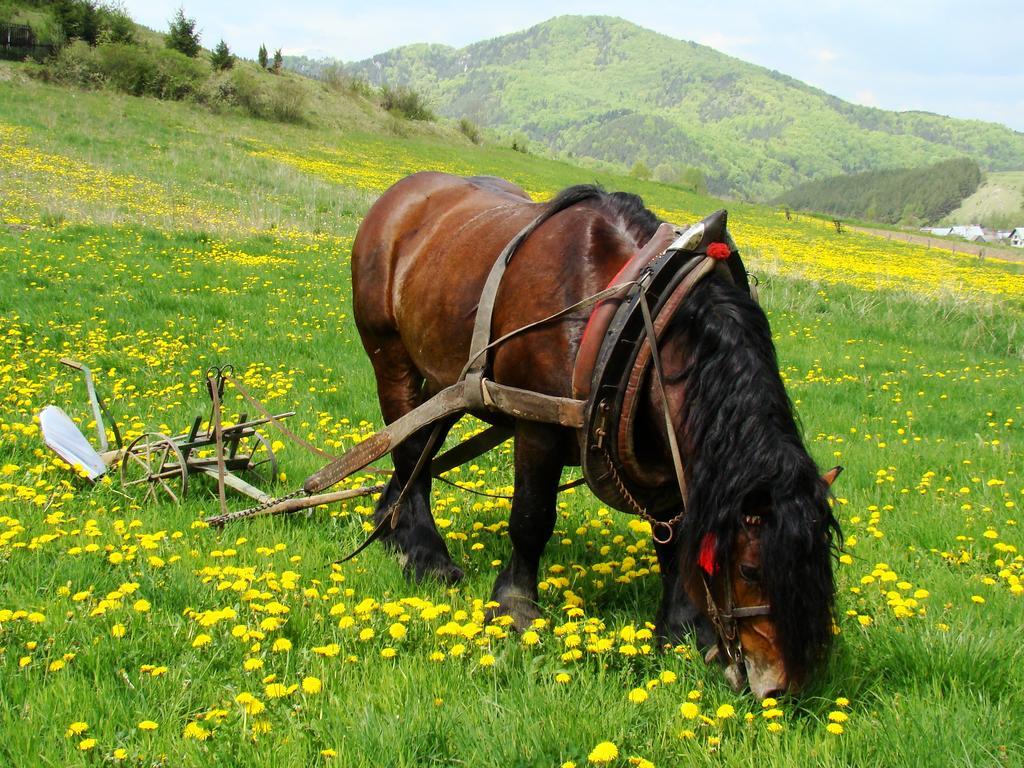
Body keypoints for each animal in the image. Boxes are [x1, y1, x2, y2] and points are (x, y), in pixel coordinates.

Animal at [352, 173, 839, 696]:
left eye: (821, 571)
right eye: (750, 569)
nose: (780, 687)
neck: (631, 317)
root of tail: (399, 194)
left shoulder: (662, 450)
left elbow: (673, 541)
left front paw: (680, 629)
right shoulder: (538, 429)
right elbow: (531, 518)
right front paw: (516, 605)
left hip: (449, 379)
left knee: (421, 443)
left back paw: (391, 523)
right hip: (392, 358)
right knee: (408, 449)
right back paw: (425, 554)